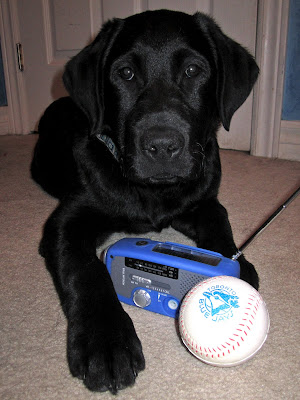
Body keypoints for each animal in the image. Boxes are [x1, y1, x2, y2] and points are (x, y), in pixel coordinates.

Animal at [31, 9, 260, 394]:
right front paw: (106, 341)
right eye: (125, 73)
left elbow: (220, 224)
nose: (162, 146)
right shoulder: (66, 222)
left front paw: (235, 266)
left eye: (193, 71)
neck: (154, 192)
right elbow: (86, 270)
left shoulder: (203, 199)